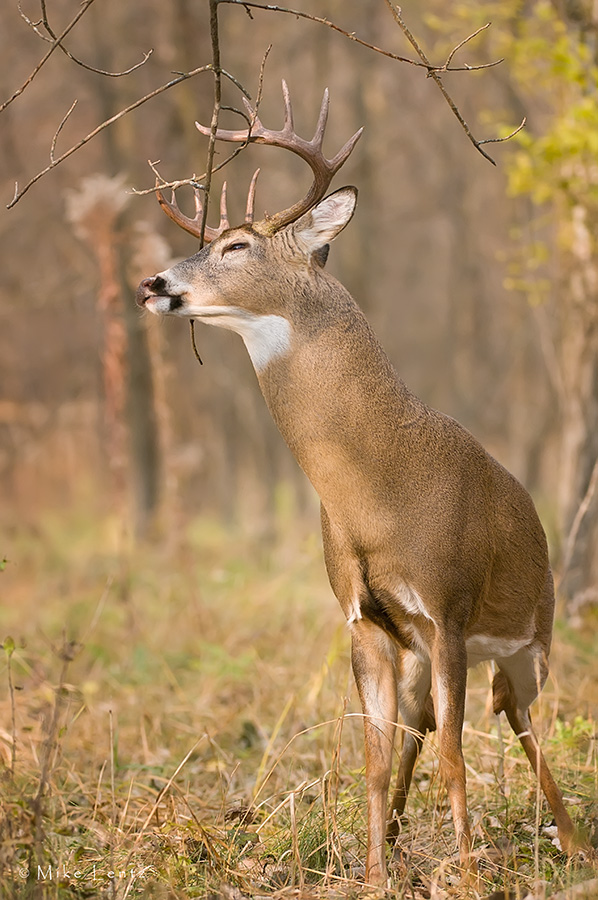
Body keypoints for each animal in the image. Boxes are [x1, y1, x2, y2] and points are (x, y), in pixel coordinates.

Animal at [137, 82, 580, 884]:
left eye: (236, 245)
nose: (151, 283)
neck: (376, 490)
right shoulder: (365, 619)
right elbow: (374, 760)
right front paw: (375, 876)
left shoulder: (447, 606)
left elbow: (456, 757)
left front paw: (469, 875)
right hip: (423, 653)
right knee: (423, 729)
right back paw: (407, 838)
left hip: (533, 633)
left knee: (521, 720)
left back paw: (572, 841)